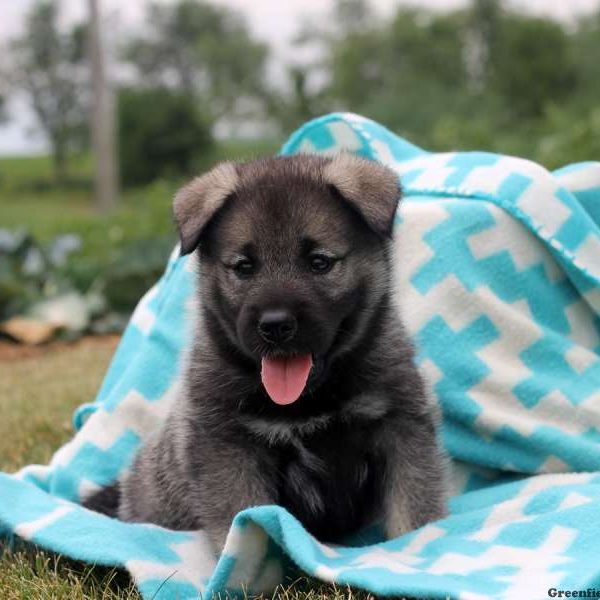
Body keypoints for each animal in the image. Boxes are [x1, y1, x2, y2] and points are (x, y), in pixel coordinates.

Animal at [86, 152, 448, 552]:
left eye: (319, 262)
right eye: (244, 267)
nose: (275, 325)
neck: (309, 400)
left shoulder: (400, 427)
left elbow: (412, 508)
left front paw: (415, 546)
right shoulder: (229, 449)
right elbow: (243, 524)